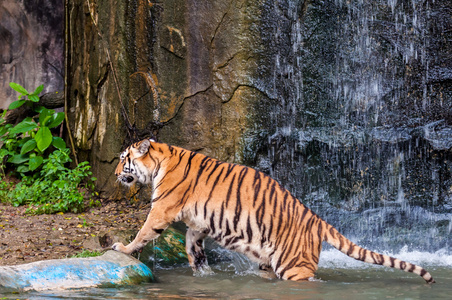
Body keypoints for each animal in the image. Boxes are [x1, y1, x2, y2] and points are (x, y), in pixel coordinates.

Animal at [112, 139, 434, 284]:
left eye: (124, 158)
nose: (114, 173)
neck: (160, 160)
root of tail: (316, 219)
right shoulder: (198, 223)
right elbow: (193, 243)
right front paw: (201, 269)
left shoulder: (162, 210)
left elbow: (143, 233)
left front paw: (122, 248)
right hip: (271, 258)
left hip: (295, 266)